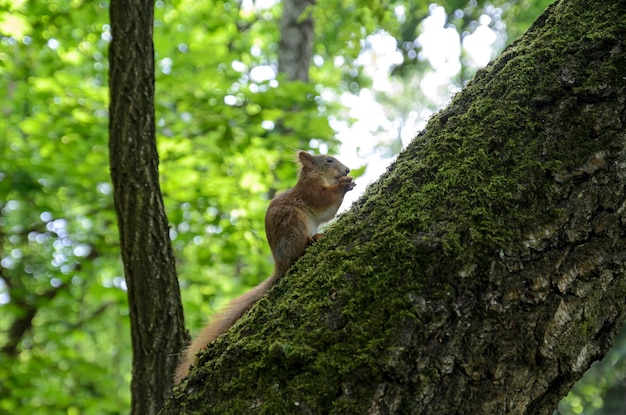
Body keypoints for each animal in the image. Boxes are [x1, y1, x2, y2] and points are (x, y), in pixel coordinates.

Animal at [173, 151, 356, 386]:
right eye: (329, 160)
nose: (348, 170)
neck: (317, 176)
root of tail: (280, 265)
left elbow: (326, 214)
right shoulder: (310, 189)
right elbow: (323, 200)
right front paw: (344, 184)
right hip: (294, 224)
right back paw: (312, 240)